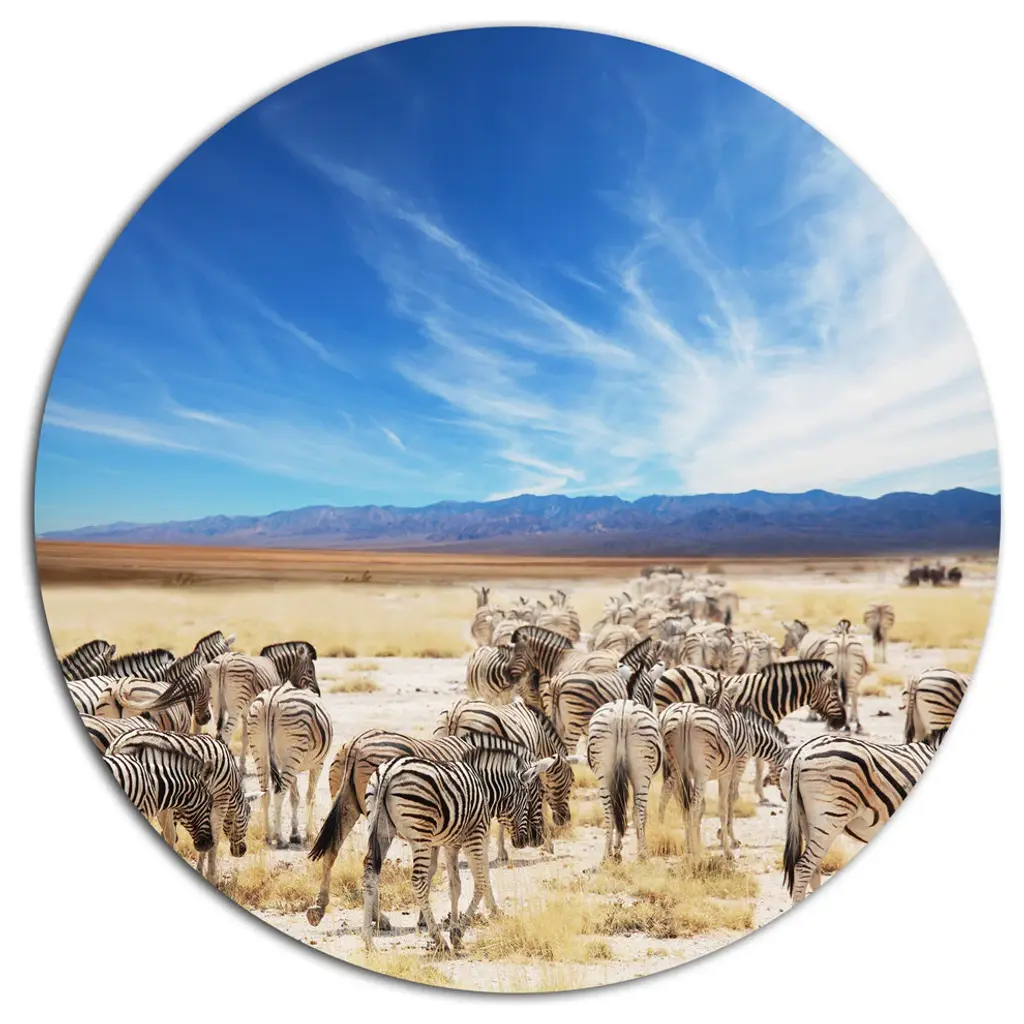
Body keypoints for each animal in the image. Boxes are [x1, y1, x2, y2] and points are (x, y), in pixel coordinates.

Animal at [108, 730, 250, 881]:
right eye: (248, 819)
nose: (242, 851)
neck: (233, 784)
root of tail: (116, 744)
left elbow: (171, 834)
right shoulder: (221, 800)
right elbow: (215, 839)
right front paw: (211, 876)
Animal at [247, 670, 333, 848]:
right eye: (310, 671)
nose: (318, 692)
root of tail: (271, 701)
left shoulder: (293, 765)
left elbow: (295, 798)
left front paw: (295, 834)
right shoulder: (318, 764)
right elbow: (310, 796)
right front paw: (308, 834)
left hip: (260, 752)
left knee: (265, 793)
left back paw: (267, 835)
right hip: (294, 751)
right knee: (279, 793)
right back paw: (279, 837)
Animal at [306, 729, 521, 927]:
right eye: (529, 798)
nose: (526, 842)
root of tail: (356, 744)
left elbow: (433, 870)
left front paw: (424, 918)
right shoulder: (471, 827)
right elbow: (479, 867)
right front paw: (494, 910)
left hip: (347, 805)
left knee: (333, 851)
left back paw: (321, 908)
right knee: (370, 861)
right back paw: (379, 918)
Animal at [361, 745, 554, 954]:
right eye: (531, 800)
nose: (529, 840)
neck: (485, 790)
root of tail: (390, 770)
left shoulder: (450, 843)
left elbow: (455, 886)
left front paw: (454, 931)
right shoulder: (475, 835)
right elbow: (481, 882)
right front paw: (459, 932)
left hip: (381, 829)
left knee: (370, 873)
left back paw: (368, 940)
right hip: (420, 834)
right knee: (418, 881)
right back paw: (438, 940)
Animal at [585, 663, 664, 862]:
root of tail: (622, 716)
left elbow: (618, 808)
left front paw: (617, 848)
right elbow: (637, 813)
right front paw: (637, 847)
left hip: (603, 769)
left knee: (609, 810)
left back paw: (606, 855)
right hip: (642, 772)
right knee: (640, 809)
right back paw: (643, 854)